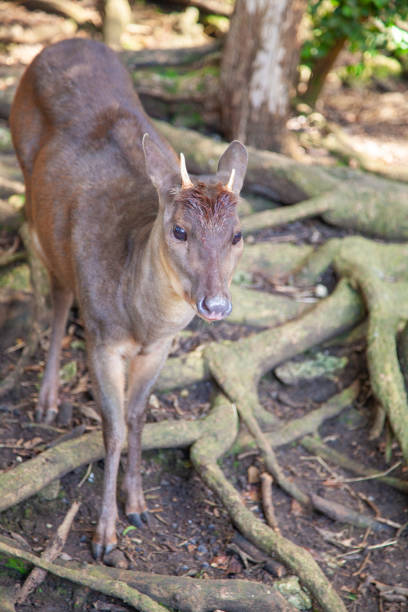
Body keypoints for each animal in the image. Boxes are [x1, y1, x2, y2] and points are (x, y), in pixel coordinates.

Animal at [9, 38, 247, 560]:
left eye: (238, 234)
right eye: (179, 230)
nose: (215, 305)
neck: (140, 319)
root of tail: (64, 42)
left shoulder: (160, 348)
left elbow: (138, 418)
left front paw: (137, 504)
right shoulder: (102, 338)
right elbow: (113, 429)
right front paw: (105, 535)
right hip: (33, 188)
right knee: (53, 281)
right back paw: (47, 397)